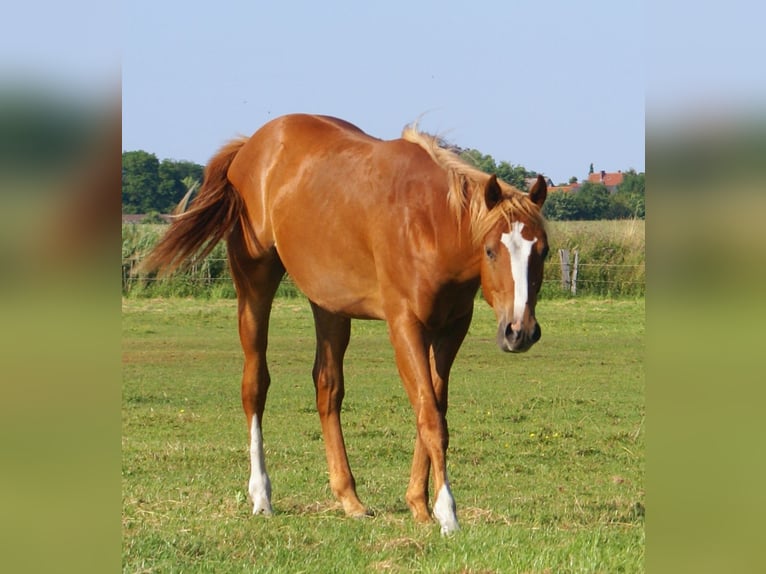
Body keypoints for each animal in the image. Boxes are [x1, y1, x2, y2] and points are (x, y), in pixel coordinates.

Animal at [141, 114, 548, 534]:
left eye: (544, 251)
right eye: (491, 250)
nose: (519, 331)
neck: (428, 222)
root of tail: (251, 145)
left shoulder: (452, 328)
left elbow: (433, 409)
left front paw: (420, 505)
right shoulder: (404, 325)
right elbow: (431, 417)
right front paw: (447, 514)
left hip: (329, 307)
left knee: (327, 388)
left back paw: (349, 498)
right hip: (254, 284)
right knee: (255, 386)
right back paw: (262, 496)